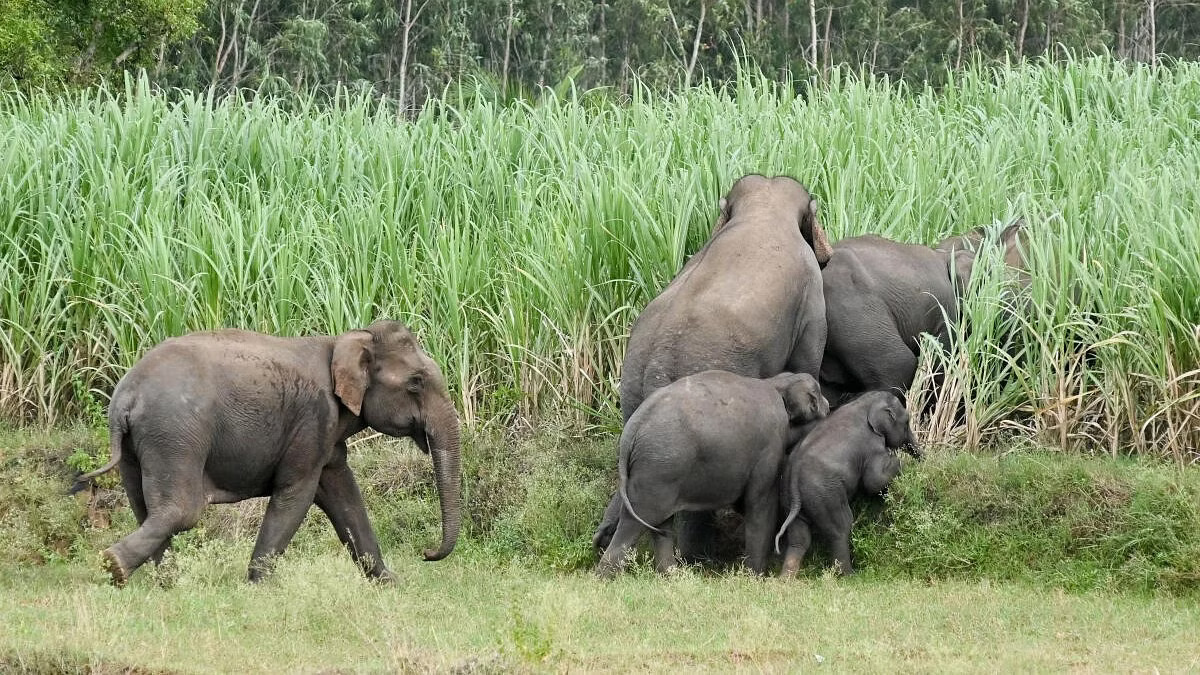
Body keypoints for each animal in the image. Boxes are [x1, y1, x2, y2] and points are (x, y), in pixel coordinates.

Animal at [72, 317, 460, 586]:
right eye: (416, 383)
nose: (426, 553)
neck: (344, 339)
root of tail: (126, 396)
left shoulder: (325, 434)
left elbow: (344, 495)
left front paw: (389, 583)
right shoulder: (313, 421)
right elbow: (297, 495)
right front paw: (259, 587)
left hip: (139, 445)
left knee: (144, 509)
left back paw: (169, 585)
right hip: (174, 434)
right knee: (181, 511)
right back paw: (115, 567)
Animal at [592, 171, 835, 552]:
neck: (764, 205)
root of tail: (659, 361)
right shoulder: (812, 301)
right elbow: (808, 359)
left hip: (630, 385)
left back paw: (604, 538)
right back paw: (698, 555)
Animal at [595, 369, 830, 576]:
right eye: (816, 396)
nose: (828, 406)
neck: (777, 383)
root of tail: (632, 428)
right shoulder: (770, 446)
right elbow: (760, 504)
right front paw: (755, 577)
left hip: (655, 470)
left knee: (660, 525)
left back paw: (671, 577)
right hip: (659, 468)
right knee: (637, 520)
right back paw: (604, 578)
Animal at [772, 389, 921, 571]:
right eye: (907, 422)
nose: (924, 460)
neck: (865, 403)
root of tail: (793, 477)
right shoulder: (871, 445)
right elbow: (874, 481)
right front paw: (900, 461)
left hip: (789, 498)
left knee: (799, 540)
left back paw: (786, 576)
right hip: (824, 495)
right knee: (840, 528)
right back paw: (849, 574)